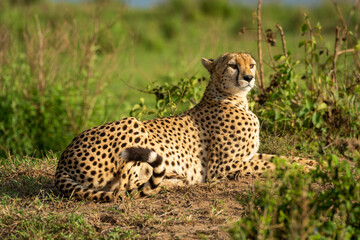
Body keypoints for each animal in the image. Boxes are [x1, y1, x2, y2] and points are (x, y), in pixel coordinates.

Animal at [54, 52, 316, 201]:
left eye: (251, 65)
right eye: (233, 65)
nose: (249, 78)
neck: (232, 97)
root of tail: (62, 160)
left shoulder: (247, 156)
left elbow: (283, 158)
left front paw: (316, 163)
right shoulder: (220, 169)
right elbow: (276, 164)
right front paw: (311, 168)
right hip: (132, 124)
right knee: (127, 187)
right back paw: (174, 184)